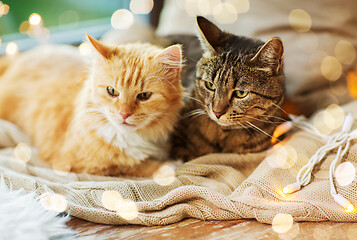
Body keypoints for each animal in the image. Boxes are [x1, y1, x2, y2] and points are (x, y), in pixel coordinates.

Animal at [0, 34, 184, 176]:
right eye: (112, 91)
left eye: (144, 96)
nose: (124, 114)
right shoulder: (73, 162)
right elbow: (132, 165)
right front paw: (169, 166)